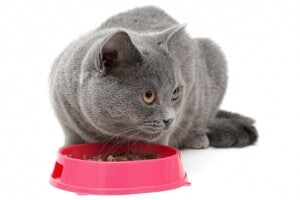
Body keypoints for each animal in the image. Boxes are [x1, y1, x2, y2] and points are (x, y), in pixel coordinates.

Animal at [49, 5, 258, 148]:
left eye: (175, 93)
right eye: (148, 95)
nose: (169, 120)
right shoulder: (64, 113)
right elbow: (73, 139)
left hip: (213, 54)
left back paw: (197, 138)